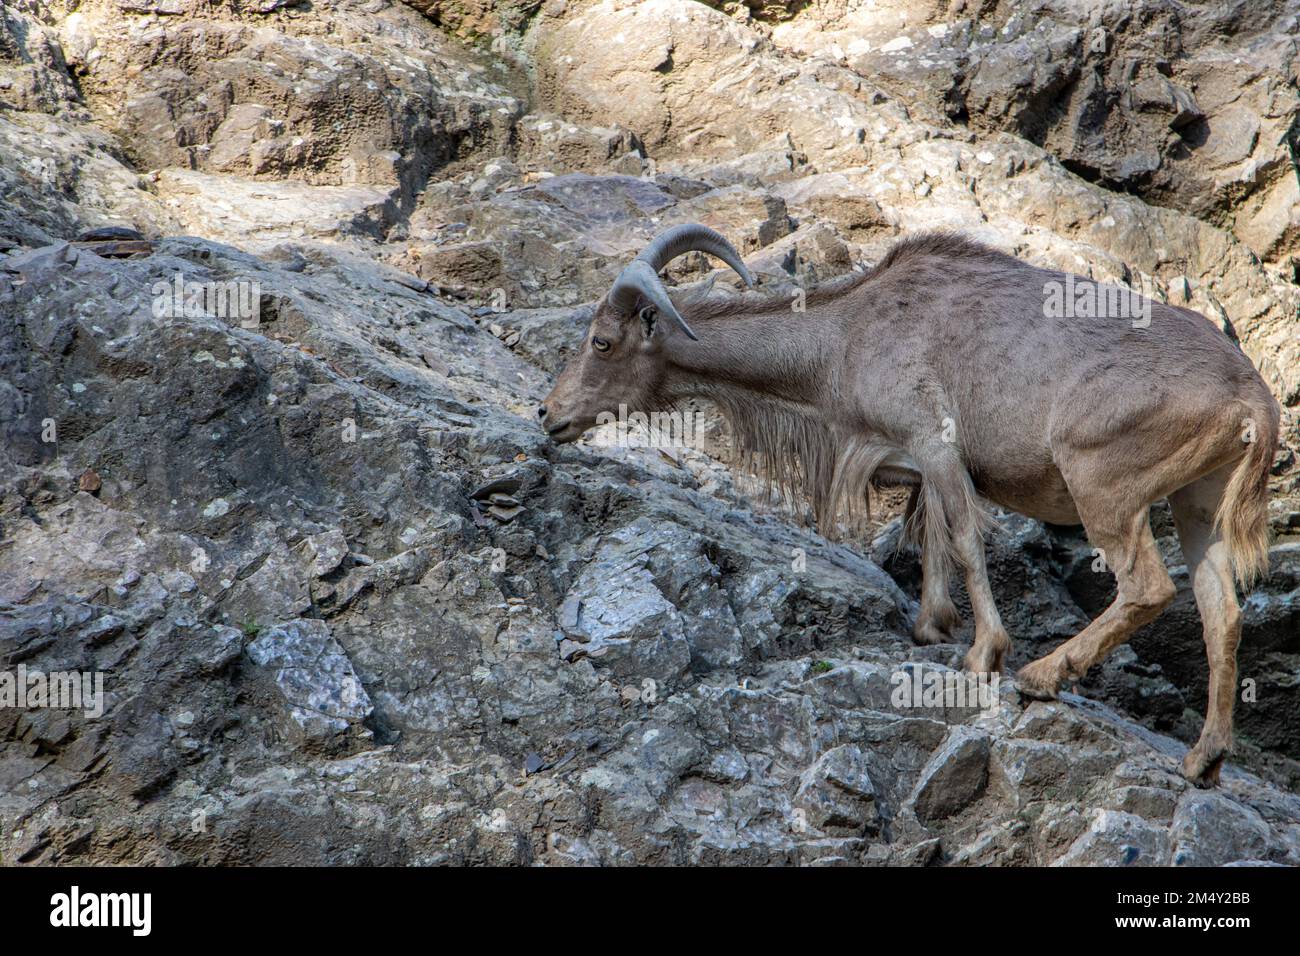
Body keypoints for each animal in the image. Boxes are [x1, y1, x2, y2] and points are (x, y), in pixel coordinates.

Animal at [538, 226, 1279, 790]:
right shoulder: (916, 465)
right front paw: (931, 626)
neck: (845, 337)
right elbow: (930, 538)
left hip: (1103, 483)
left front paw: (983, 654)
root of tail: (1254, 400)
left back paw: (1042, 676)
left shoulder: (936, 442)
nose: (549, 415)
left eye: (602, 341)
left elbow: (967, 542)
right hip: (1198, 504)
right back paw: (1204, 760)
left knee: (1148, 587)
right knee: (1222, 612)